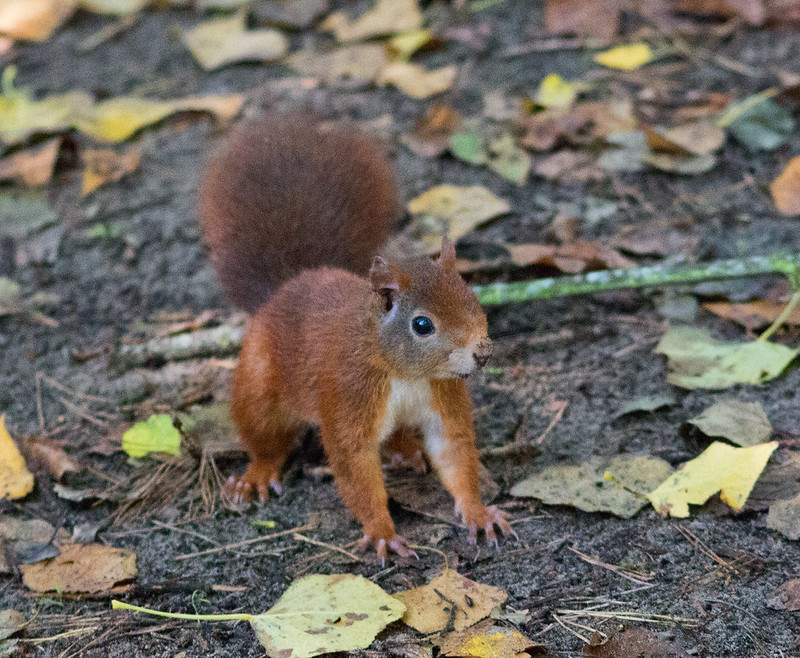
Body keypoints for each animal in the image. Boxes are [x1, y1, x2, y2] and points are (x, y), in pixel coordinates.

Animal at [199, 114, 513, 561]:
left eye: (474, 299)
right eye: (422, 325)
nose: (482, 353)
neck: (404, 373)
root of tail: (285, 288)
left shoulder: (443, 396)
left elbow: (452, 451)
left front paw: (478, 512)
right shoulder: (349, 392)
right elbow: (354, 465)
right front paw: (382, 531)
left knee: (398, 433)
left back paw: (405, 449)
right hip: (259, 382)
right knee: (264, 435)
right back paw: (257, 473)